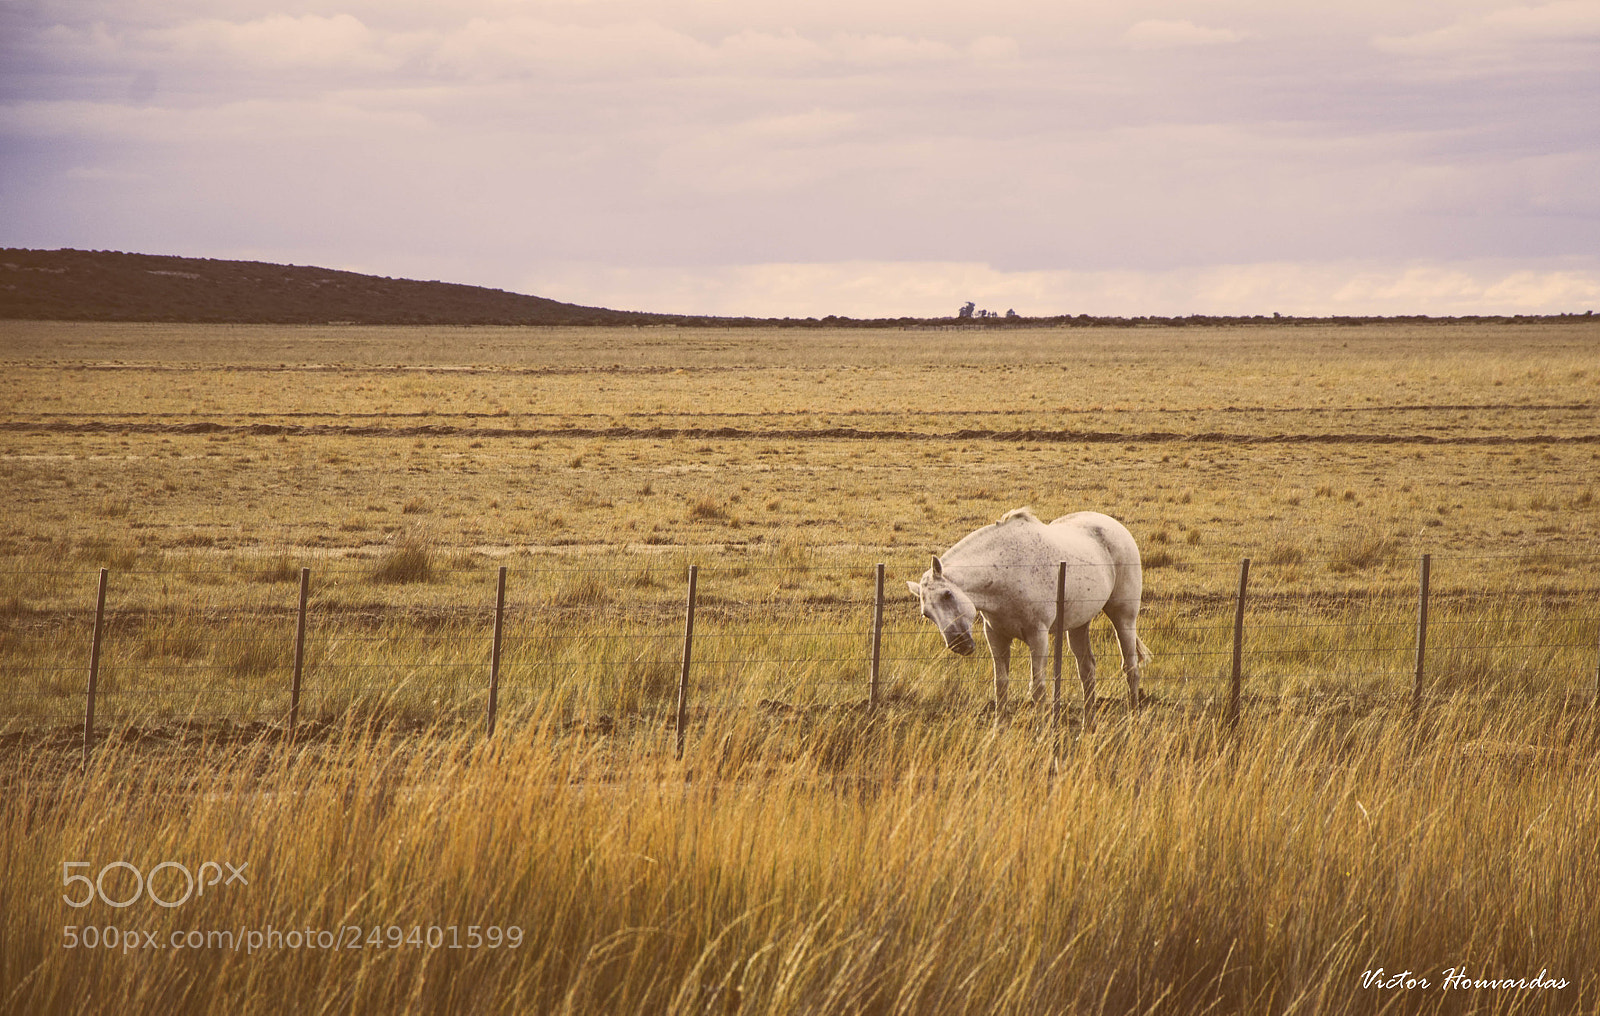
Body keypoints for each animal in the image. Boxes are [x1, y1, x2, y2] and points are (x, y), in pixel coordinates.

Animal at [907, 507, 1151, 715]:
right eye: (926, 614)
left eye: (947, 594)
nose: (959, 645)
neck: (1006, 573)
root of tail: (1116, 526)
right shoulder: (996, 636)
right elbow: (1001, 685)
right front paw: (998, 731)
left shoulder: (1038, 636)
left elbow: (1038, 689)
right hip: (1079, 624)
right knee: (1087, 670)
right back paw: (1087, 727)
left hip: (1124, 617)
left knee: (1131, 668)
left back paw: (1133, 718)